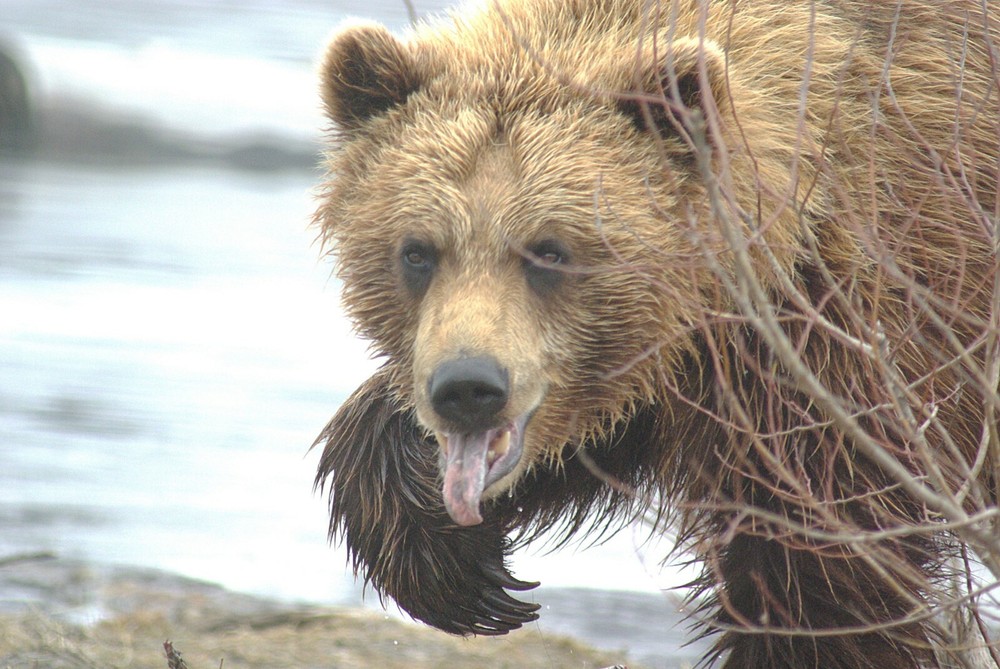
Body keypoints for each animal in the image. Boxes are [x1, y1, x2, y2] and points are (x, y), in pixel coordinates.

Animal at [312, 0, 1000, 667]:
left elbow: (821, 581)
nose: (467, 388)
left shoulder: (865, 333)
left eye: (550, 250)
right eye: (417, 251)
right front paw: (449, 563)